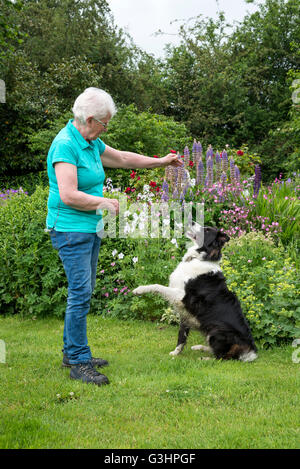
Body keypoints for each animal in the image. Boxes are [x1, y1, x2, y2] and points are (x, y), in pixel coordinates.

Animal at [134, 225, 258, 360]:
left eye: (207, 230)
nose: (192, 222)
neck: (199, 258)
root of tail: (251, 351)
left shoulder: (182, 297)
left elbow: (158, 286)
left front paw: (139, 289)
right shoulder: (185, 314)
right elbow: (181, 336)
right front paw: (176, 353)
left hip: (216, 330)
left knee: (222, 357)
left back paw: (204, 359)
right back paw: (199, 348)